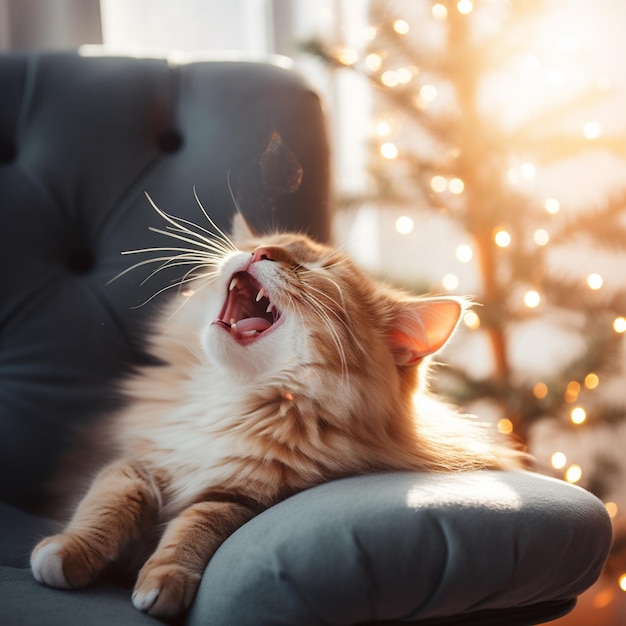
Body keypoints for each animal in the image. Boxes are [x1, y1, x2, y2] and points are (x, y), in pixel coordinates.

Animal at [29, 196, 520, 620]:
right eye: (268, 245)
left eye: (316, 269)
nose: (260, 252)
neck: (232, 398)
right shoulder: (140, 461)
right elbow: (107, 502)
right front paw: (67, 550)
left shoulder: (244, 496)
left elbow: (194, 526)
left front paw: (164, 578)